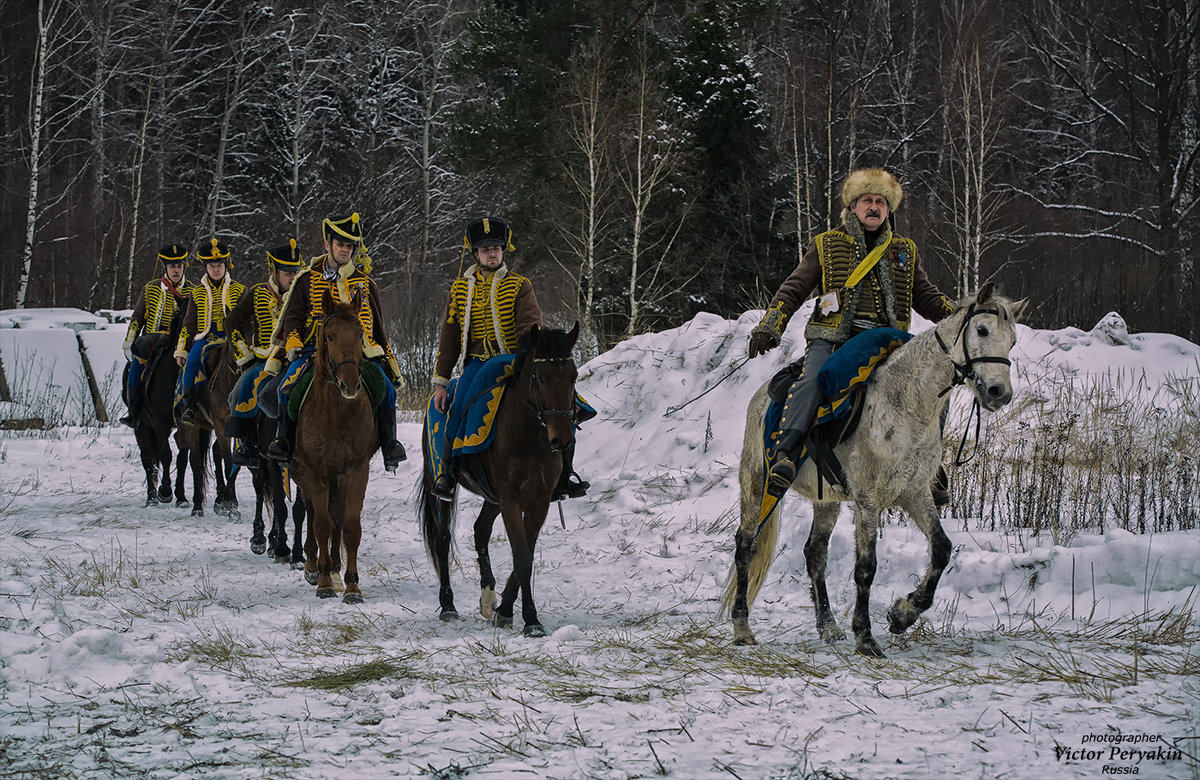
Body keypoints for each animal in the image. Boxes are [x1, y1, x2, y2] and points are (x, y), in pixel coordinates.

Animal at [289, 290, 374, 602]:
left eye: (360, 333)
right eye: (329, 335)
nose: (349, 384)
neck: (337, 415)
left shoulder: (356, 469)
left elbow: (349, 525)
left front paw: (351, 585)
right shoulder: (314, 471)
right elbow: (321, 523)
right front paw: (324, 581)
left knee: (334, 513)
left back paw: (335, 565)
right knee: (314, 512)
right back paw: (316, 566)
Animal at [417, 321, 580, 633]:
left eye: (573, 376)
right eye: (541, 378)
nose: (562, 439)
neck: (529, 436)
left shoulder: (538, 502)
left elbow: (525, 553)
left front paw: (505, 610)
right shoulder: (510, 501)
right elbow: (522, 556)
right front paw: (531, 620)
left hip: (492, 498)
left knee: (480, 530)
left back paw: (487, 597)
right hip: (441, 488)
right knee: (443, 539)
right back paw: (448, 605)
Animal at [715, 282, 1027, 652]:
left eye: (1013, 341)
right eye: (981, 330)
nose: (998, 392)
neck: (908, 403)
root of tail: (762, 394)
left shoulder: (914, 493)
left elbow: (941, 549)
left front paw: (903, 613)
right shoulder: (868, 499)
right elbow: (866, 566)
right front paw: (865, 636)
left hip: (827, 499)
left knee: (815, 554)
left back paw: (828, 626)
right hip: (757, 483)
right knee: (746, 546)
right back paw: (742, 627)